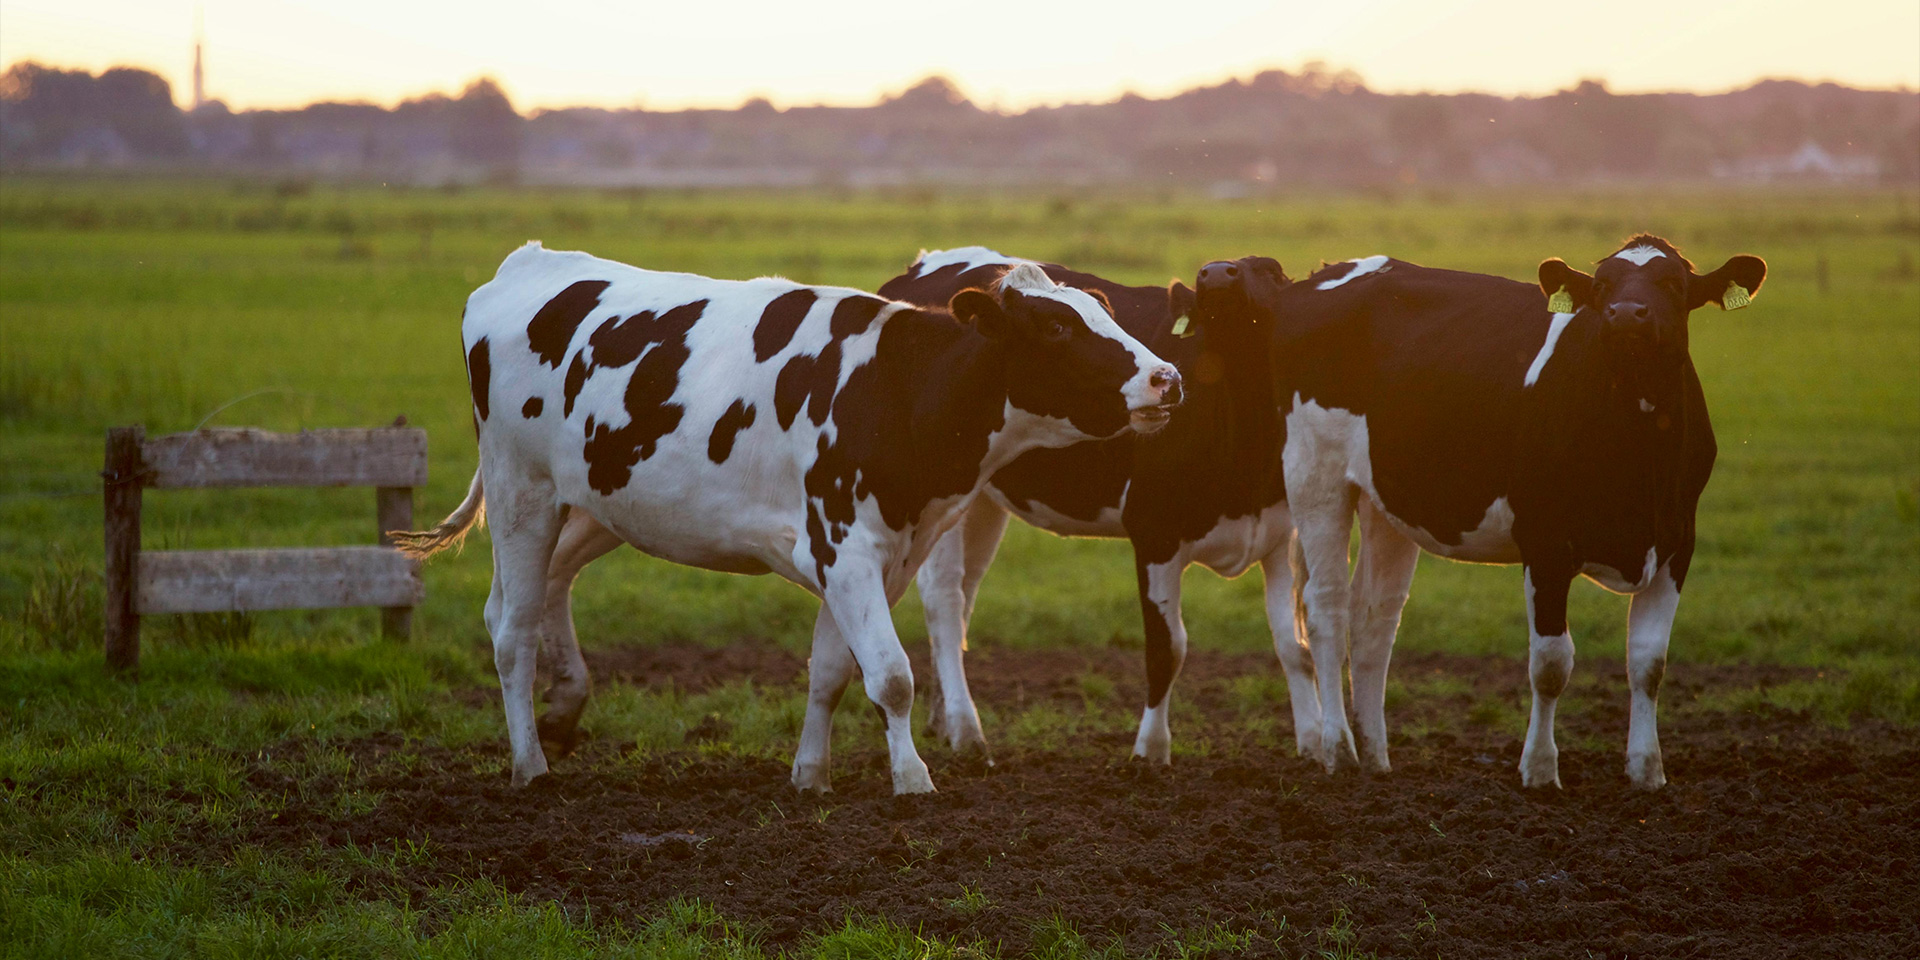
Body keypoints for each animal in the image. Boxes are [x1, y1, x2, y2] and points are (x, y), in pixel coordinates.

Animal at [395, 241, 1175, 794]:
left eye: (1103, 311)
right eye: (1056, 326)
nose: (1167, 377)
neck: (894, 388)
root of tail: (527, 263)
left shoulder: (878, 556)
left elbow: (832, 670)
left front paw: (811, 774)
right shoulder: (845, 547)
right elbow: (891, 675)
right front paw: (912, 780)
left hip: (596, 502)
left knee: (529, 596)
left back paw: (562, 711)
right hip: (521, 492)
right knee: (512, 632)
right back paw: (529, 765)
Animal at [879, 247, 1313, 764]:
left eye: (1271, 271)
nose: (1216, 274)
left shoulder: (1279, 534)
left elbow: (1295, 645)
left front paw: (1324, 746)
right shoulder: (1154, 530)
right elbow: (1167, 649)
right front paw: (1150, 752)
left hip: (980, 502)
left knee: (966, 593)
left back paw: (943, 720)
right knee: (945, 599)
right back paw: (966, 731)